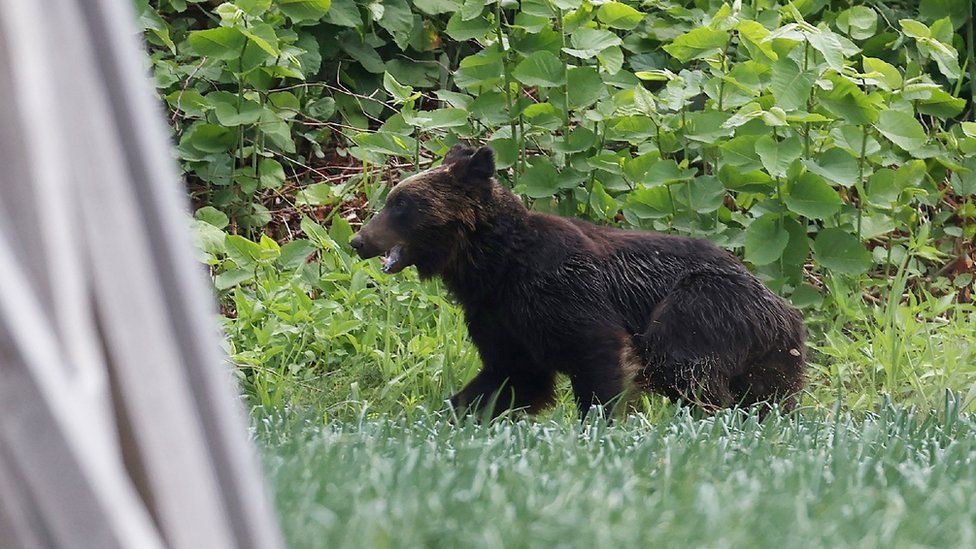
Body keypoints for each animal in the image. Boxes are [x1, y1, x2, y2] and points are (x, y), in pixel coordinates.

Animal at [350, 143, 808, 418]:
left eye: (401, 204)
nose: (358, 239)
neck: (494, 266)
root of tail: (786, 309)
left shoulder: (562, 289)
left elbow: (598, 352)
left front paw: (599, 422)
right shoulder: (499, 317)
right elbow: (511, 376)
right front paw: (455, 412)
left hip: (704, 304)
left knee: (681, 363)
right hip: (771, 356)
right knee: (768, 395)